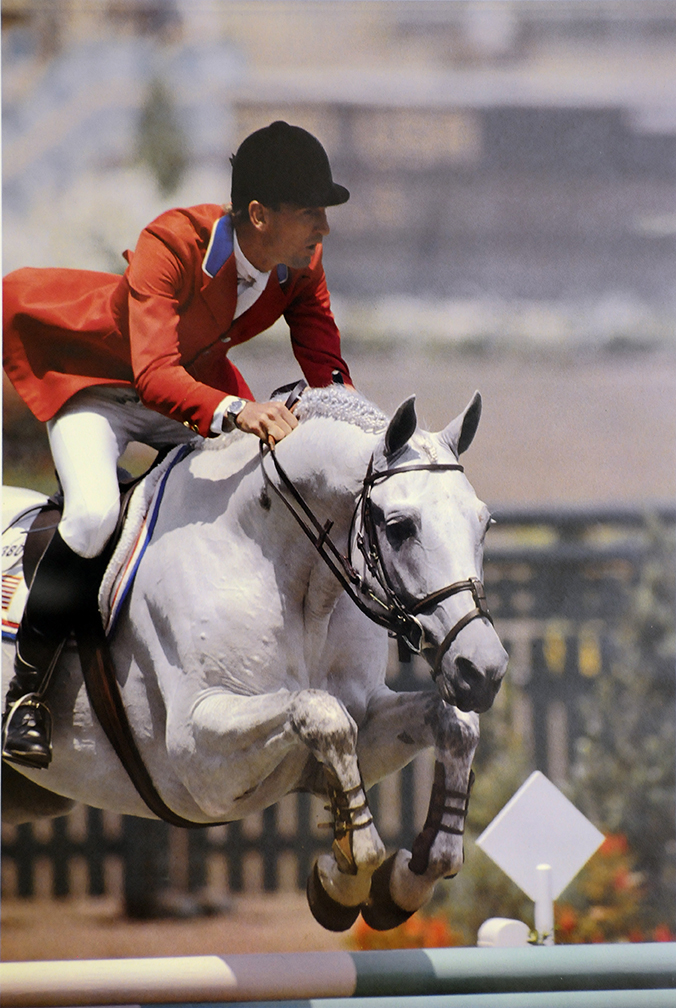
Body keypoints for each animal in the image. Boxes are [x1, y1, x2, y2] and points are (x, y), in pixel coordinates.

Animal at [2, 385, 508, 931]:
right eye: (398, 527)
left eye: (484, 522)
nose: (482, 670)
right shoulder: (197, 758)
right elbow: (322, 714)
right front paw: (343, 881)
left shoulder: (365, 718)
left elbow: (454, 725)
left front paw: (404, 882)